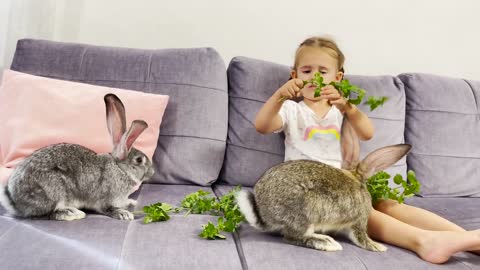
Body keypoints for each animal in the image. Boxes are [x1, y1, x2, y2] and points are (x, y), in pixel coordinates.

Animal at [0, 94, 154, 220]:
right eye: (139, 160)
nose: (152, 172)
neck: (120, 169)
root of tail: (14, 200)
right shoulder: (106, 199)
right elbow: (108, 209)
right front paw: (124, 214)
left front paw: (132, 202)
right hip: (53, 191)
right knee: (47, 213)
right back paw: (72, 213)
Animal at [238, 119, 410, 252]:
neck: (354, 178)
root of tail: (264, 214)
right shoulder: (359, 221)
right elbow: (361, 238)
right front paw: (378, 247)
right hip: (305, 215)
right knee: (293, 237)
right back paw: (328, 243)